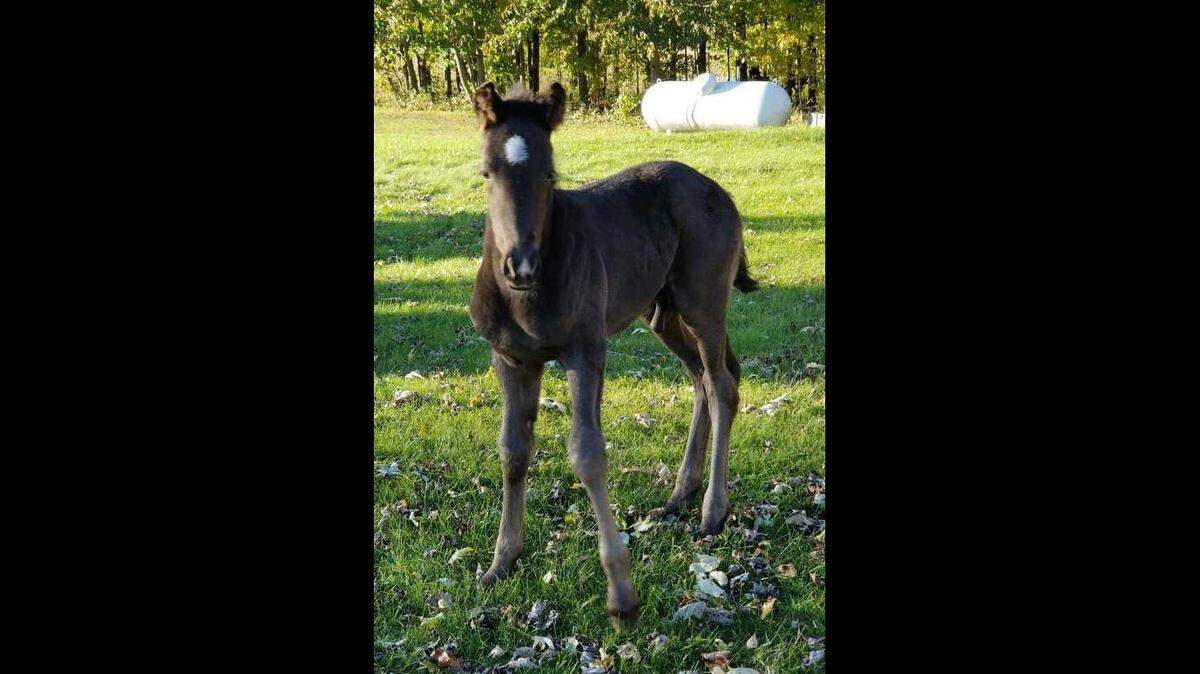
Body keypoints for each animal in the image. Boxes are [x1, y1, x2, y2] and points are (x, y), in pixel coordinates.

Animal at [467, 81, 759, 626]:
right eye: (487, 172)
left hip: (703, 302)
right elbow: (513, 452)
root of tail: (718, 190)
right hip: (661, 313)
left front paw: (622, 594)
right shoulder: (512, 360)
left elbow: (587, 454)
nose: (520, 265)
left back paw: (712, 511)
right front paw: (502, 562)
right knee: (701, 381)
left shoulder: (585, 353)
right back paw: (679, 495)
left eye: (550, 174)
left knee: (723, 385)